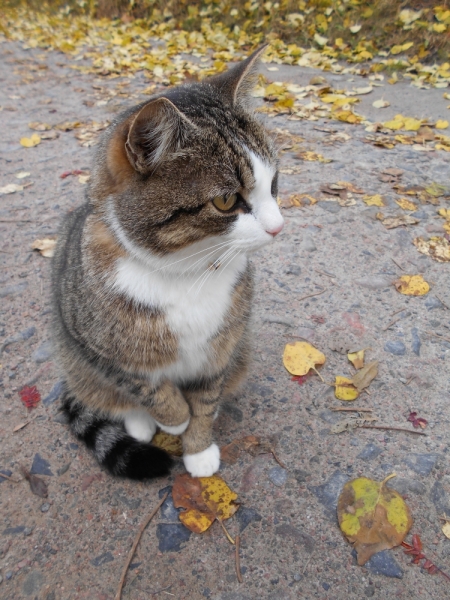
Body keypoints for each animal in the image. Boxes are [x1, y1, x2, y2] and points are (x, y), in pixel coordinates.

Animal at [51, 45, 284, 478]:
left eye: (273, 184)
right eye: (226, 200)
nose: (279, 226)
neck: (185, 272)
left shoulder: (221, 349)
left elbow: (206, 400)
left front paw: (198, 448)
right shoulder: (98, 348)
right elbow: (147, 387)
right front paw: (174, 420)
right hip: (77, 362)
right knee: (111, 397)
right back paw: (140, 424)